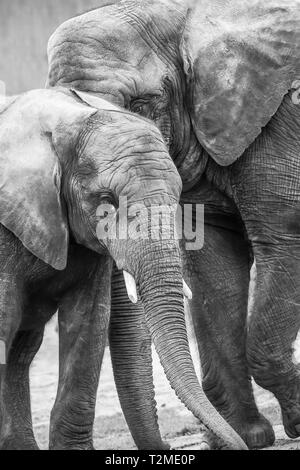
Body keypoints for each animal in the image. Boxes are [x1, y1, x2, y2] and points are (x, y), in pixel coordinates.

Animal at [0, 86, 246, 450]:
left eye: (177, 197)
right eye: (107, 201)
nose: (170, 446)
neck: (68, 120)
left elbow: (88, 320)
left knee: (22, 351)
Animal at [47, 0, 300, 448]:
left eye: (139, 104)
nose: (167, 446)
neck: (176, 17)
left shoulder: (274, 121)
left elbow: (283, 237)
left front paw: (297, 421)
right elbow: (216, 266)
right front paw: (246, 436)